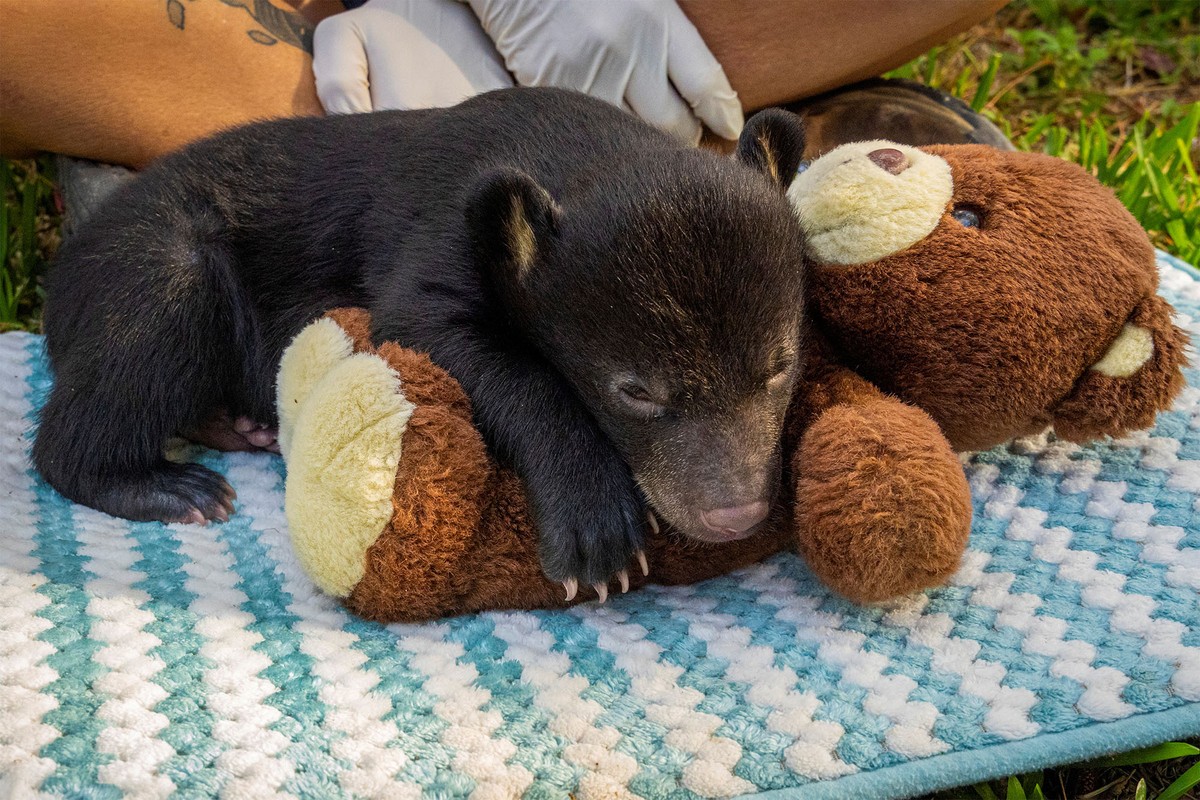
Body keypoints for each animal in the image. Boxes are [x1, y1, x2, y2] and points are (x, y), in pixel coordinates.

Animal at [32, 87, 809, 588]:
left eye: (779, 364)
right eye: (636, 391)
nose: (735, 513)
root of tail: (63, 267)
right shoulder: (441, 234)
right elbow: (430, 327)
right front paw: (599, 533)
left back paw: (235, 424)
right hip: (157, 261)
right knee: (138, 343)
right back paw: (166, 487)